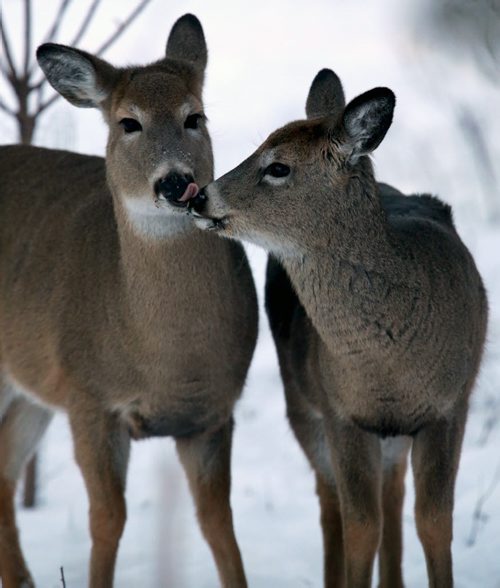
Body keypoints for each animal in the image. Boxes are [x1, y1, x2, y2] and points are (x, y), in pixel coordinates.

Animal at [0, 13, 258, 588]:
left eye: (194, 116)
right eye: (127, 123)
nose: (177, 183)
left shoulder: (213, 413)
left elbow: (219, 522)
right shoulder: (89, 397)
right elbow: (107, 520)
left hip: (30, 386)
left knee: (3, 467)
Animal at [179, 66, 488, 584]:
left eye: (278, 167)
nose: (199, 197)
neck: (392, 362)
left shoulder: (451, 405)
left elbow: (434, 522)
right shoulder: (341, 412)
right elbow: (360, 526)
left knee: (392, 494)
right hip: (301, 399)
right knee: (332, 505)